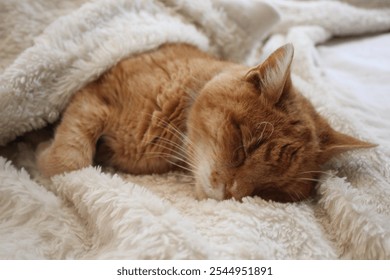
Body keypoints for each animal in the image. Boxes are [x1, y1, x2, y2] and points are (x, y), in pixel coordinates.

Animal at [37, 43, 374, 201]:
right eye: (243, 147)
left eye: (270, 190)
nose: (230, 192)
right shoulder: (93, 94)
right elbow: (72, 159)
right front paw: (45, 162)